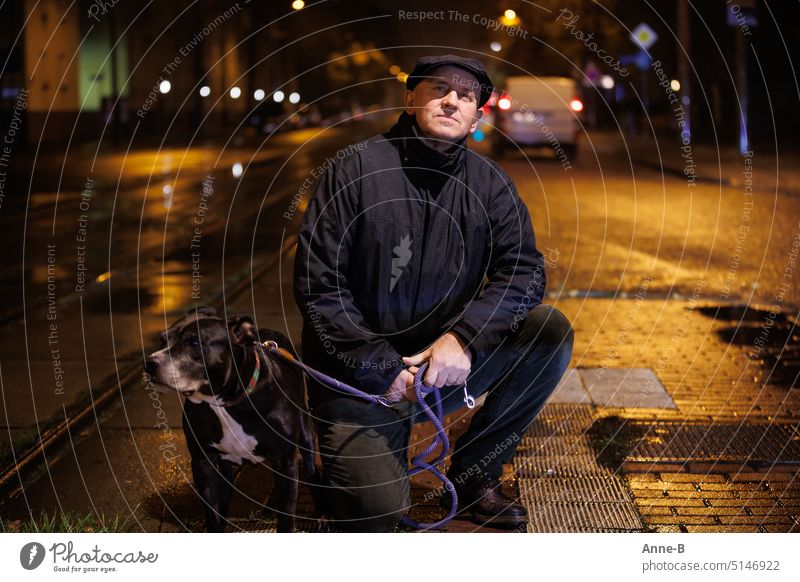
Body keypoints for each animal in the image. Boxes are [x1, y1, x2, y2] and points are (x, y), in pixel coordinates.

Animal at [145, 308, 314, 536]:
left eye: (194, 342)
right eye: (162, 340)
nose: (149, 363)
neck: (224, 401)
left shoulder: (286, 461)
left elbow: (286, 519)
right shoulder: (203, 464)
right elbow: (213, 515)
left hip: (306, 438)